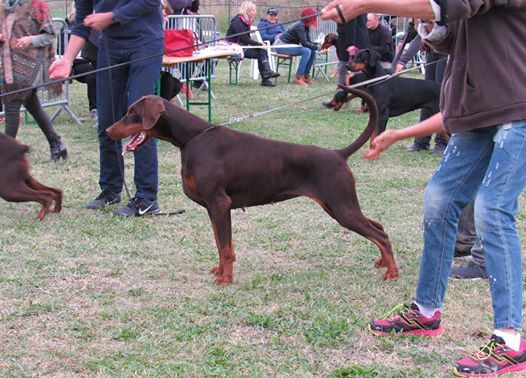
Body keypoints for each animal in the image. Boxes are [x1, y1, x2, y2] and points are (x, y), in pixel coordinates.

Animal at [107, 88, 400, 284]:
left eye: (132, 113)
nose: (108, 131)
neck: (192, 138)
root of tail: (339, 154)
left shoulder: (219, 203)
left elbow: (225, 248)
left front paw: (225, 280)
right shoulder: (213, 208)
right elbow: (221, 244)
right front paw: (221, 271)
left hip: (340, 206)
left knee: (381, 234)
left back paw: (392, 272)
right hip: (340, 205)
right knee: (379, 226)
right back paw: (381, 262)